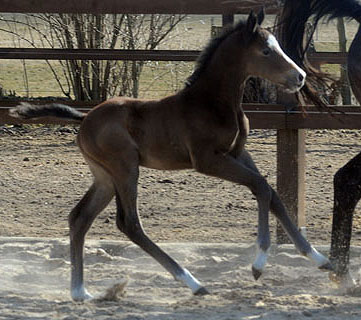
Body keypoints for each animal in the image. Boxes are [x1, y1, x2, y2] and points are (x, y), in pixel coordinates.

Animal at [9, 9, 330, 300]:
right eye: (265, 50)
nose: (300, 77)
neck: (211, 103)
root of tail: (85, 117)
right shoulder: (208, 160)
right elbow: (261, 187)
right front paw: (259, 264)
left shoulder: (238, 154)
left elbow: (271, 194)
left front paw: (320, 259)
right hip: (125, 168)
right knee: (129, 223)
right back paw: (193, 283)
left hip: (104, 177)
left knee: (79, 218)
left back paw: (80, 292)